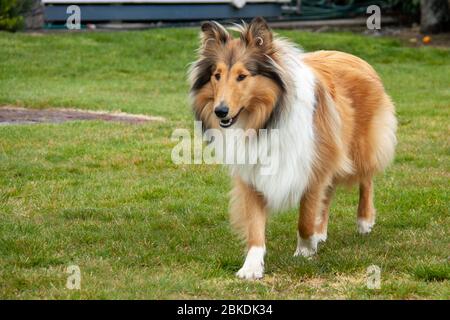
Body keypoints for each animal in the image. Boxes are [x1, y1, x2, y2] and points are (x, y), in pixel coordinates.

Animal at [188, 17, 396, 278]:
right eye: (217, 75)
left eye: (242, 76)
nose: (220, 111)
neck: (265, 120)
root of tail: (354, 56)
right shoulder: (251, 172)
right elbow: (255, 224)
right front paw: (251, 266)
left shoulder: (311, 163)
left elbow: (305, 217)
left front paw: (304, 252)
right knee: (328, 193)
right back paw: (321, 231)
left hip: (360, 147)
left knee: (366, 179)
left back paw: (364, 221)